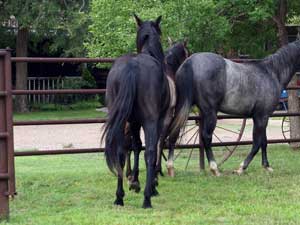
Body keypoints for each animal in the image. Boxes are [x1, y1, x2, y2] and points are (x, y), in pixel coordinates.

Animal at [103, 14, 173, 208]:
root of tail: (131, 67)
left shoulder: (133, 122)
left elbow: (135, 146)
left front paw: (134, 181)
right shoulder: (158, 121)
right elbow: (150, 148)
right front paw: (149, 184)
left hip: (121, 121)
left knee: (120, 151)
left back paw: (119, 197)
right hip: (150, 121)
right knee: (150, 151)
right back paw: (148, 197)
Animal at [170, 41, 300, 176]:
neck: (271, 73)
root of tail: (190, 62)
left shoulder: (261, 117)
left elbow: (264, 141)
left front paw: (266, 166)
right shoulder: (262, 117)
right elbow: (257, 143)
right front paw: (241, 168)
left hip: (183, 107)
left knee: (174, 131)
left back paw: (171, 167)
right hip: (210, 112)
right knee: (206, 136)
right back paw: (214, 168)